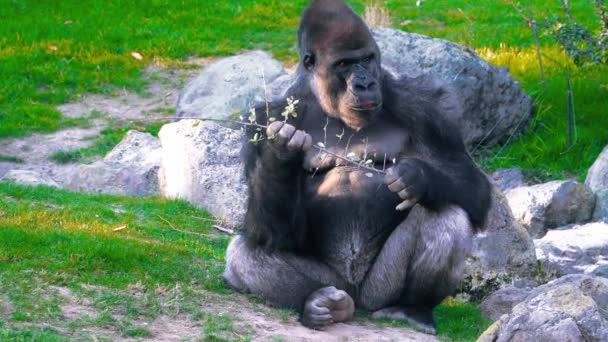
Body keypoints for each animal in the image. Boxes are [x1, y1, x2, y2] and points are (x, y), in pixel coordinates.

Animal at [226, 0, 492, 334]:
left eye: (367, 59)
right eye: (344, 64)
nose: (365, 83)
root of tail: (357, 298)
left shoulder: (425, 105)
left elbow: (473, 186)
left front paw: (416, 177)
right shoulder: (264, 116)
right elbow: (272, 234)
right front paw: (282, 152)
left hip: (379, 292)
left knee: (447, 214)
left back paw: (411, 310)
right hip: (335, 282)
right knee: (244, 253)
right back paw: (319, 304)